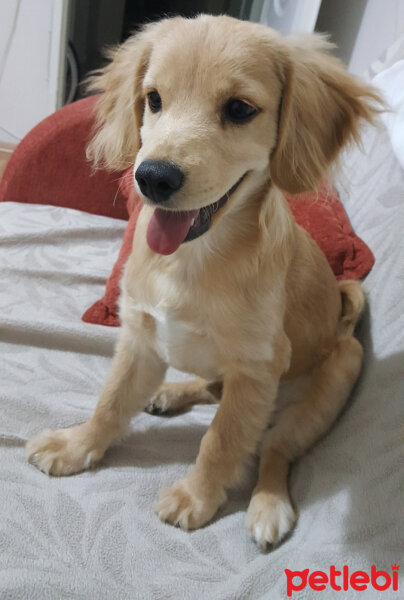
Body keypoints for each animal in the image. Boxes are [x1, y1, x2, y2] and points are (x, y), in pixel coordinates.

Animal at [26, 15, 382, 548]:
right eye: (153, 99)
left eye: (239, 109)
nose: (152, 177)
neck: (191, 260)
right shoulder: (140, 338)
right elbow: (111, 401)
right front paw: (77, 445)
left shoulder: (256, 370)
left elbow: (223, 440)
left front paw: (196, 497)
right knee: (212, 389)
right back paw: (172, 393)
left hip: (332, 380)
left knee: (274, 449)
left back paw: (269, 504)